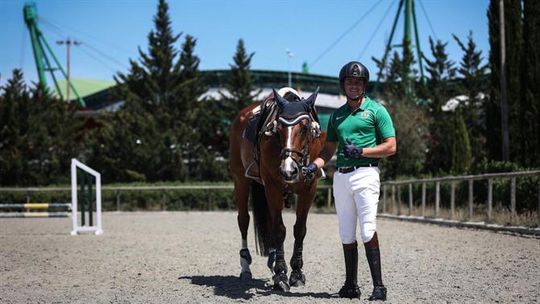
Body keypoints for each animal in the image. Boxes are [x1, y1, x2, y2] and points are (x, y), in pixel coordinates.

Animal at [228, 87, 324, 290]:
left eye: (305, 128)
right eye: (277, 130)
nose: (288, 170)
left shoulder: (309, 189)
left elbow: (299, 230)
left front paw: (296, 273)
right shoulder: (272, 187)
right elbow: (280, 230)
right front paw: (281, 275)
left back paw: (272, 260)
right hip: (240, 180)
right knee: (243, 220)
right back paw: (245, 267)